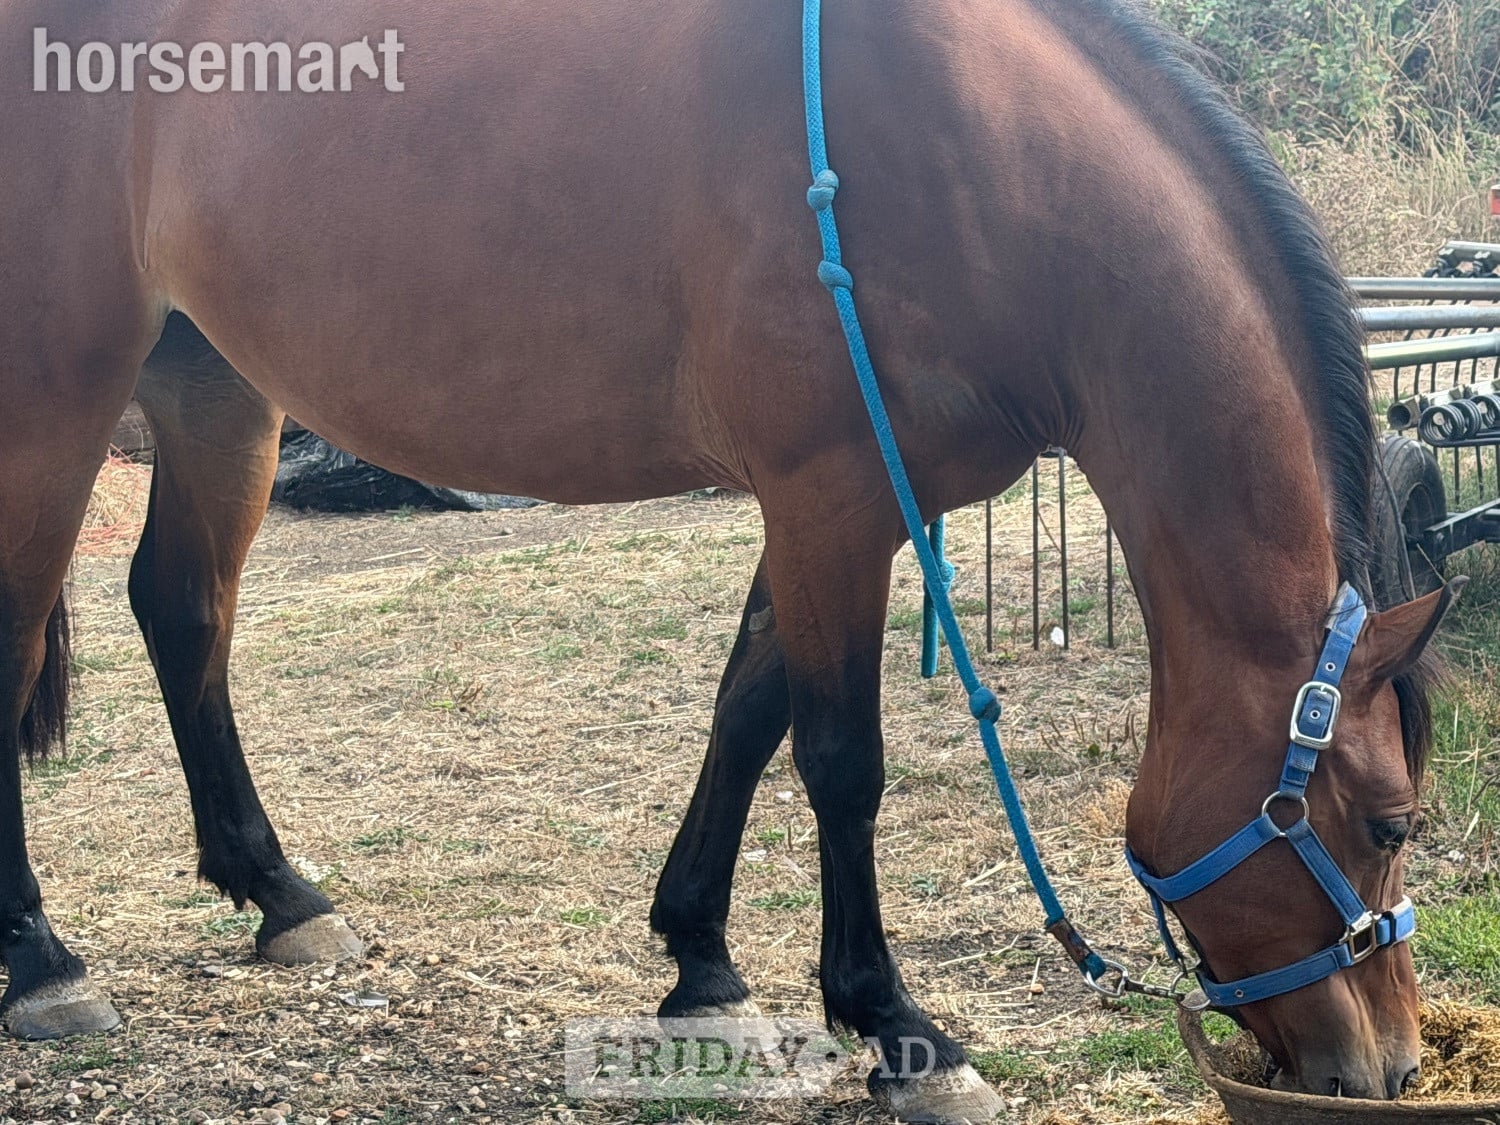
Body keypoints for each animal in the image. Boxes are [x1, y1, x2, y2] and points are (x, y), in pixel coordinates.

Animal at [0, 0, 1457, 1119]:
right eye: (1391, 825)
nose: (1389, 1066)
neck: (972, 156)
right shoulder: (833, 492)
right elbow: (840, 760)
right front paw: (899, 1028)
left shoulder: (840, 505)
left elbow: (747, 711)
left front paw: (700, 960)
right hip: (59, 385)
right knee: (21, 637)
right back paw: (41, 958)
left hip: (212, 386)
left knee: (182, 610)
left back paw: (277, 892)